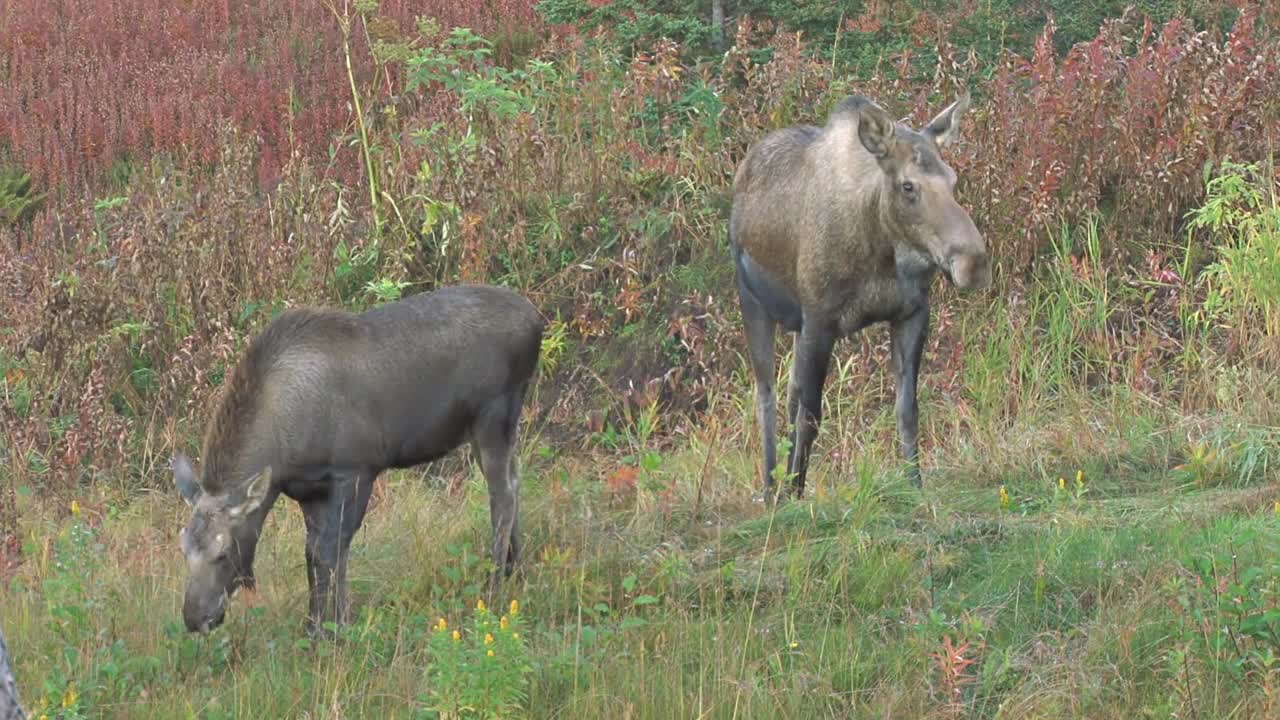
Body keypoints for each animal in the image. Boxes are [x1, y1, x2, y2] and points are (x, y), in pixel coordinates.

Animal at [175, 284, 545, 632]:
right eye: (184, 549)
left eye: (223, 553)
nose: (195, 618)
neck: (281, 454)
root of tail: (537, 319)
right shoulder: (309, 491)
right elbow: (314, 553)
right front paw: (317, 626)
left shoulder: (356, 470)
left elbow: (332, 551)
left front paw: (334, 627)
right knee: (514, 483)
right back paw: (517, 572)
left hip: (494, 417)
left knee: (502, 497)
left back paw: (495, 586)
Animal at [732, 92, 988, 497]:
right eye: (908, 186)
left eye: (953, 179)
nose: (973, 262)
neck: (880, 254)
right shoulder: (820, 319)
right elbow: (812, 416)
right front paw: (795, 492)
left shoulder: (912, 312)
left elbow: (907, 408)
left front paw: (915, 486)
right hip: (753, 301)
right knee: (767, 396)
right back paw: (772, 487)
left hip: (795, 325)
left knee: (789, 393)